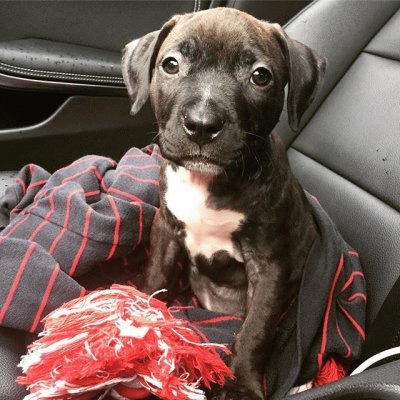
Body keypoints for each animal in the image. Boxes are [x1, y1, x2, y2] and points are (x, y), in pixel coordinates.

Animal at [122, 7, 326, 399]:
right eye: (171, 64)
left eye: (260, 76)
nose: (202, 125)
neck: (209, 182)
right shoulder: (166, 230)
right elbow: (155, 276)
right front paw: (140, 316)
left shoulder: (269, 264)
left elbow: (256, 330)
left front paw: (241, 384)